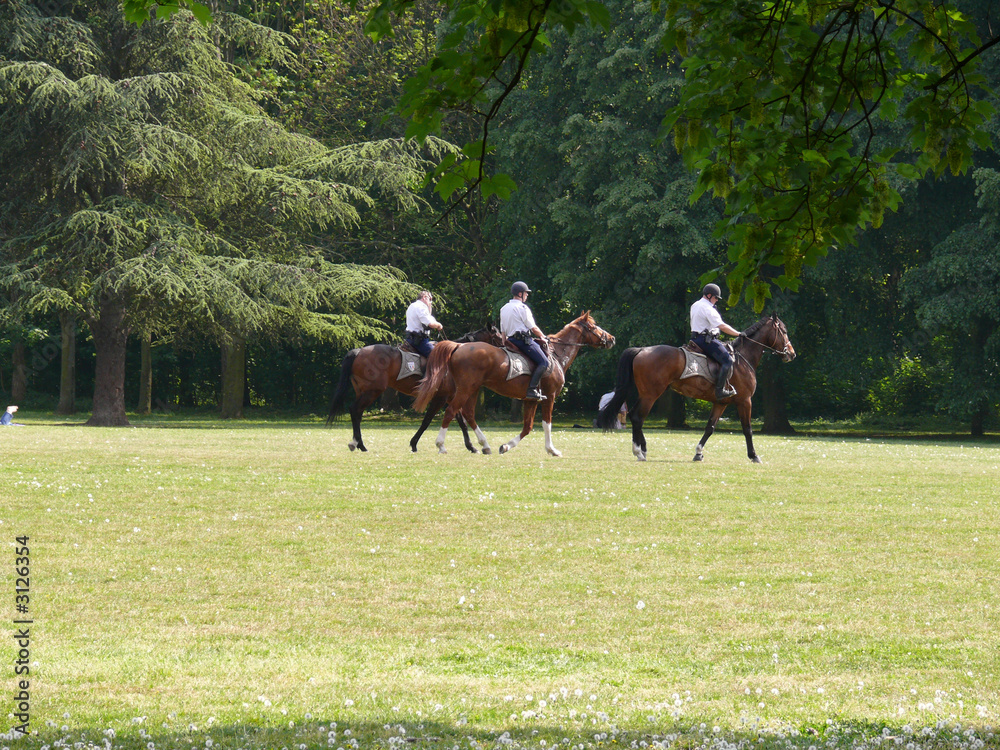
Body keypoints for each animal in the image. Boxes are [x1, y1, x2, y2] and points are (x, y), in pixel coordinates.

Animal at [326, 328, 500, 456]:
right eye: (498, 337)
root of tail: (359, 351)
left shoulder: (450, 397)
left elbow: (461, 422)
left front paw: (471, 447)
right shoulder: (441, 398)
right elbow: (427, 420)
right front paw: (414, 443)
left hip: (364, 392)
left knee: (357, 413)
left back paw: (358, 443)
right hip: (371, 391)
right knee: (355, 410)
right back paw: (359, 444)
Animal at [410, 312, 612, 456]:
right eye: (593, 326)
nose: (611, 339)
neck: (557, 355)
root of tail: (458, 346)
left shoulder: (531, 400)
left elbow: (527, 427)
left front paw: (506, 446)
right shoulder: (550, 397)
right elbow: (546, 424)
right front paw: (551, 449)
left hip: (473, 390)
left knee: (468, 414)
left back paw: (484, 445)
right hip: (465, 389)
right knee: (452, 411)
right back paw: (441, 445)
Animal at [592, 312, 796, 464]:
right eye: (784, 331)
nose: (791, 354)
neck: (742, 358)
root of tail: (642, 349)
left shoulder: (721, 403)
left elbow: (710, 428)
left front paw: (698, 453)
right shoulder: (745, 401)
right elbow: (748, 429)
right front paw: (754, 456)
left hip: (646, 394)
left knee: (635, 416)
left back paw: (642, 449)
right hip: (651, 394)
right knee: (637, 417)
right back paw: (639, 451)